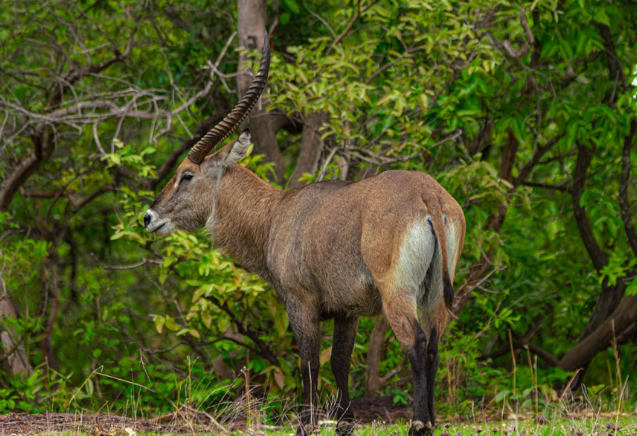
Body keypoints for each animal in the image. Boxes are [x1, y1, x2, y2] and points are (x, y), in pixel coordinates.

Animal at [143, 37, 462, 436]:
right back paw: (431, 420)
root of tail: (427, 193)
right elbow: (340, 362)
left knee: (416, 342)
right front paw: (344, 425)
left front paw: (304, 426)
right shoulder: (347, 311)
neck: (276, 214)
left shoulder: (300, 303)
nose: (149, 216)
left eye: (186, 175)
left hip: (397, 292)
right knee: (434, 344)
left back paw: (419, 423)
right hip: (434, 295)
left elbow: (308, 363)